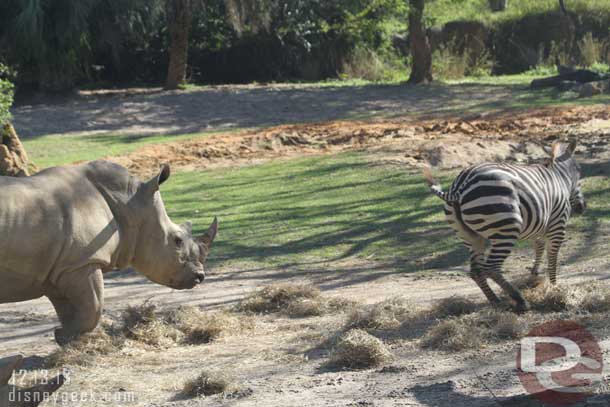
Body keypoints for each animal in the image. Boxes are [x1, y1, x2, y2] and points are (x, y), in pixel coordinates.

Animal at [0, 161, 217, 346]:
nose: (200, 276)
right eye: (177, 240)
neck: (130, 204)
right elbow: (94, 307)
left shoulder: (58, 268)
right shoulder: (82, 262)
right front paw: (66, 337)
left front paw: (65, 337)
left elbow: (70, 311)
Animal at [422, 141, 584, 312]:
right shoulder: (557, 225)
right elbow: (552, 258)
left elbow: (539, 247)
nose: (581, 207)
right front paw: (555, 288)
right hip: (506, 229)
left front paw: (534, 275)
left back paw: (496, 301)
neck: (559, 178)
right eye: (579, 170)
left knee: (476, 271)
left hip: (471, 237)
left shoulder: (539, 226)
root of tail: (460, 186)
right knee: (491, 268)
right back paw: (520, 300)